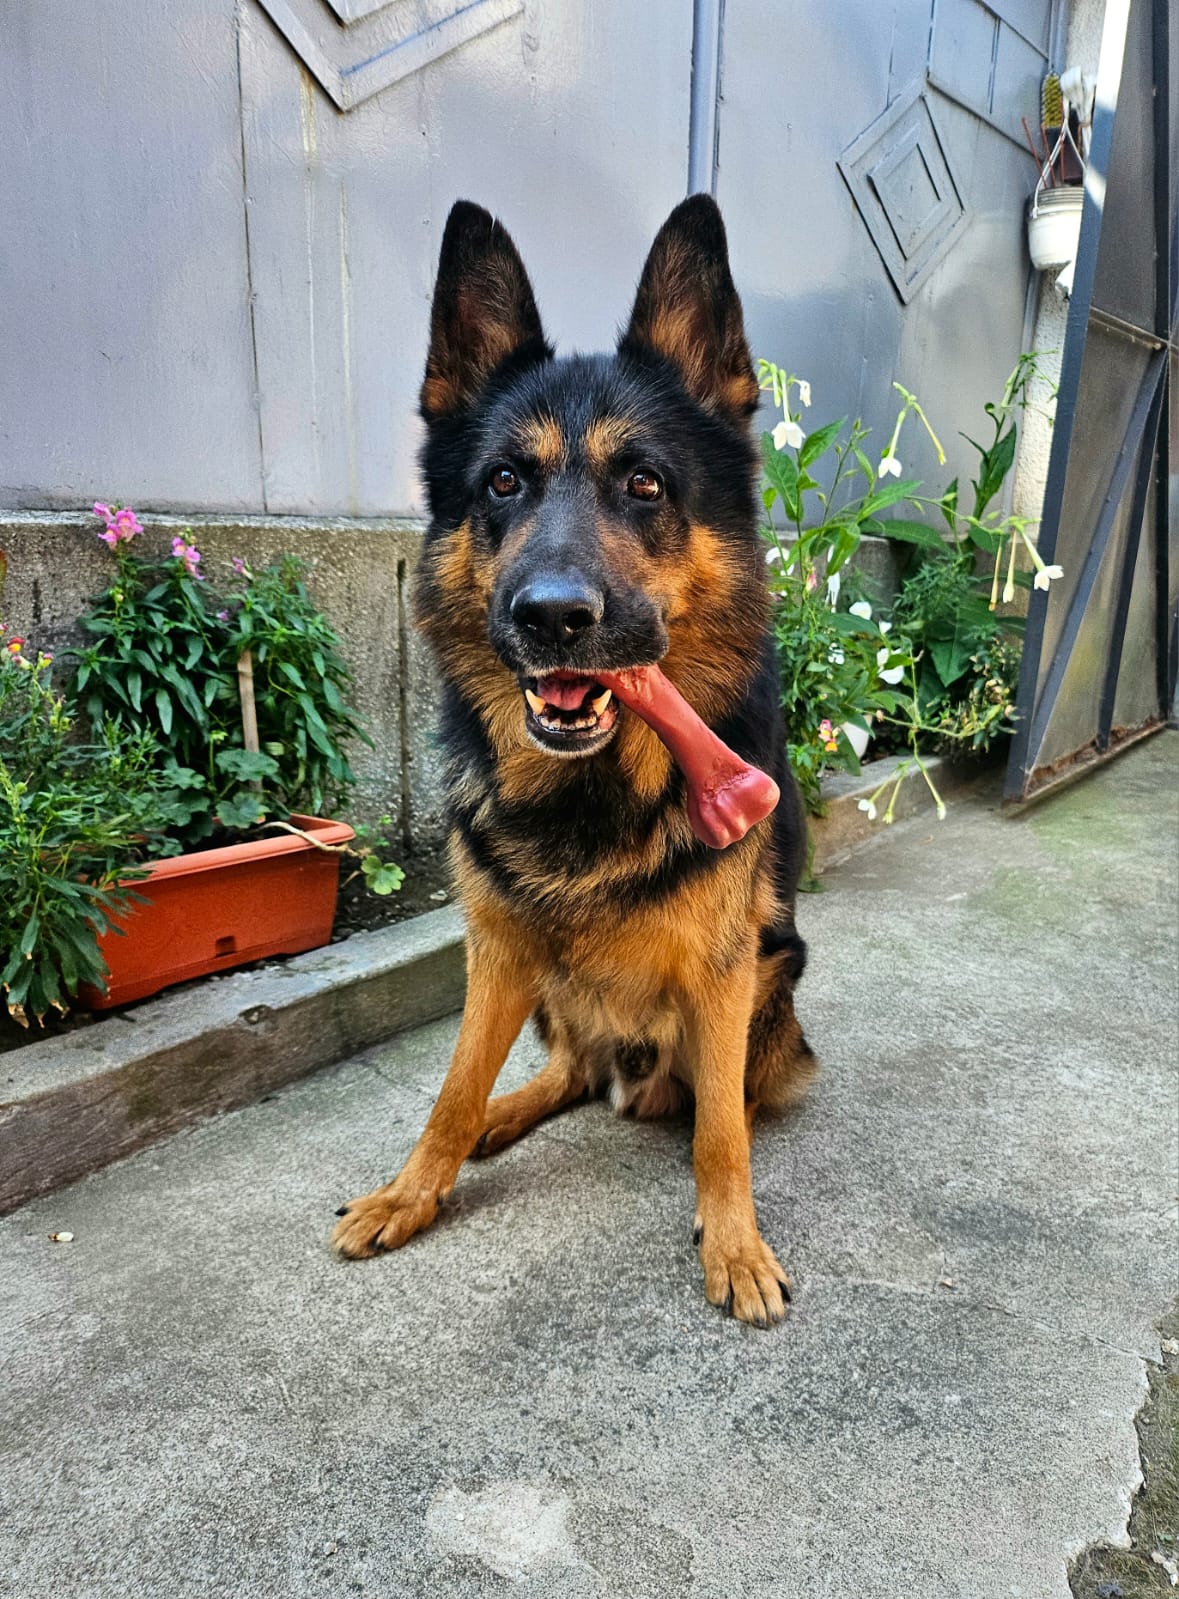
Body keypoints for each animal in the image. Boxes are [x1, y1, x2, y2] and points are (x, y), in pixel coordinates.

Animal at [332, 195, 815, 1326]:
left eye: (644, 483)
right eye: (504, 481)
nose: (551, 617)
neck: (593, 794)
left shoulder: (726, 972)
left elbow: (720, 1133)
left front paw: (734, 1242)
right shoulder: (499, 953)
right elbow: (451, 1089)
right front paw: (416, 1190)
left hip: (775, 982)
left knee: (700, 1096)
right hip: (553, 992)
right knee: (566, 1073)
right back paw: (509, 1116)